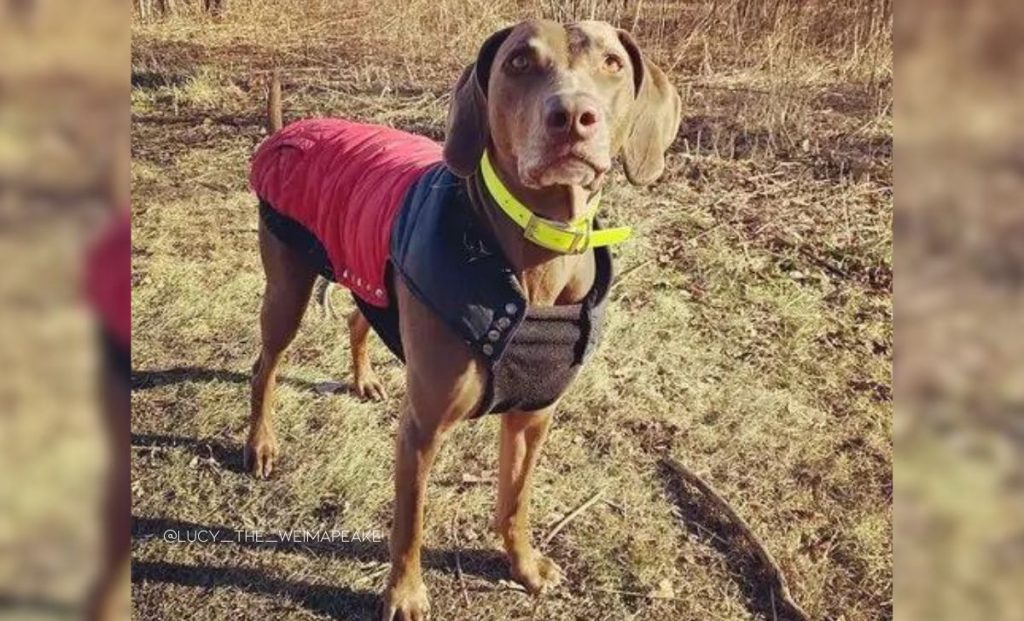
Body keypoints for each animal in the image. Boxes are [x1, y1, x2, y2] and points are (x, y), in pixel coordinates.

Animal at [245, 19, 679, 621]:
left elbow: (515, 501)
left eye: (612, 63)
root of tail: (292, 128)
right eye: (519, 62)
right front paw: (405, 595)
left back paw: (363, 379)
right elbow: (410, 524)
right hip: (286, 288)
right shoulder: (423, 429)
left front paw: (524, 566)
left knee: (358, 320)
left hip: (367, 271)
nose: (573, 115)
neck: (537, 257)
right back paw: (260, 445)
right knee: (265, 365)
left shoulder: (533, 415)